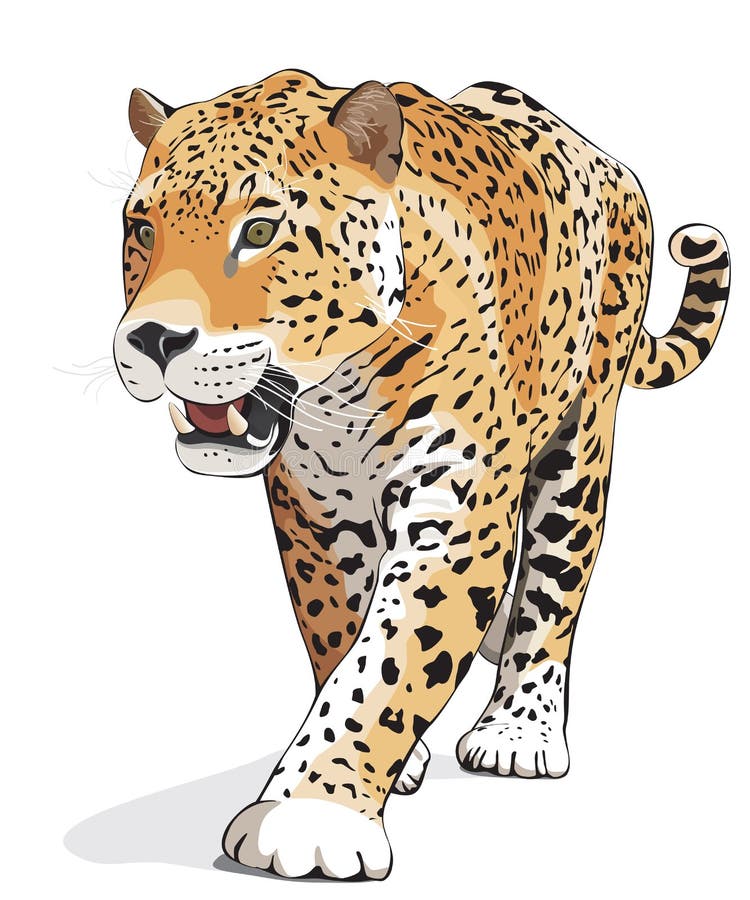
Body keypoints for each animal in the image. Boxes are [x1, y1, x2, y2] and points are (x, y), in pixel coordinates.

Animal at [113, 69, 730, 880]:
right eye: (142, 230)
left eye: (260, 232)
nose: (153, 339)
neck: (337, 394)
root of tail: (603, 156)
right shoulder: (313, 512)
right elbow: (341, 634)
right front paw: (388, 763)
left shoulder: (456, 511)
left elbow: (389, 663)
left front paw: (311, 816)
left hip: (583, 435)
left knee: (556, 582)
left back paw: (519, 730)